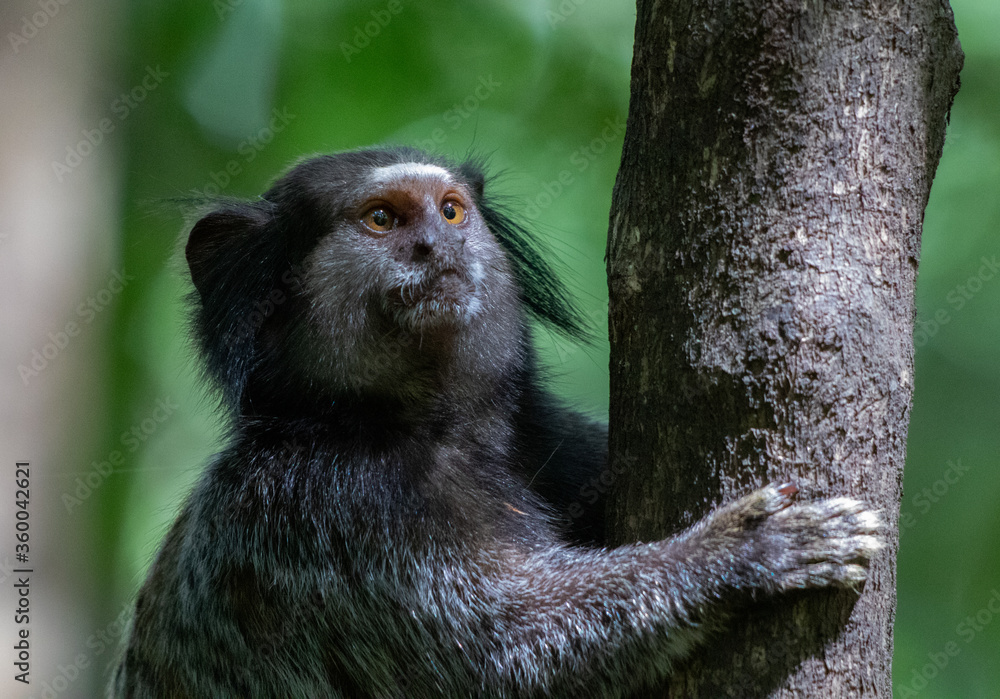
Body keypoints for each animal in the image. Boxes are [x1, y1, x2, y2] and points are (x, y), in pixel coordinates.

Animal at [110, 146, 882, 698]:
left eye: (451, 212)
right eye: (383, 219)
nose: (436, 247)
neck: (432, 429)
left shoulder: (548, 436)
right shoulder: (323, 513)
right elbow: (511, 652)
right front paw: (742, 553)